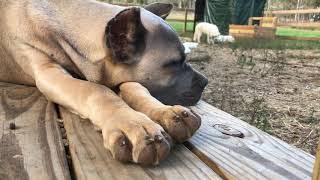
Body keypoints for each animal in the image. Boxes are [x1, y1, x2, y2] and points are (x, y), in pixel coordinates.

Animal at [0, 0, 209, 166]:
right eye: (174, 63)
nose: (205, 82)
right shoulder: (48, 72)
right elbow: (97, 90)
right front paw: (131, 122)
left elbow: (136, 87)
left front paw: (166, 112)